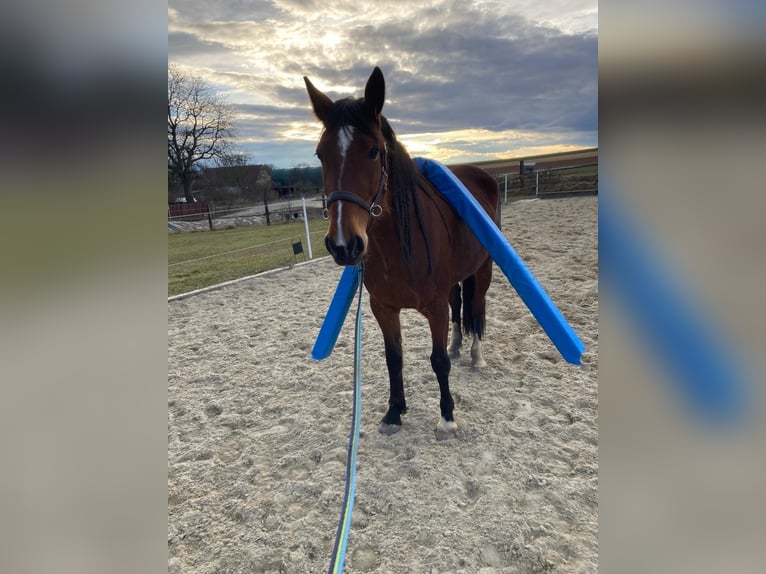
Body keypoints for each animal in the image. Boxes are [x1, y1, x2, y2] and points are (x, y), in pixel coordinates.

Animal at [306, 70, 504, 444]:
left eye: (373, 151)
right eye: (321, 154)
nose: (343, 244)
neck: (398, 248)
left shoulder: (434, 308)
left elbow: (437, 361)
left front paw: (446, 418)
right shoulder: (383, 308)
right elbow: (393, 358)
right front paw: (394, 412)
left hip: (483, 269)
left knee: (476, 307)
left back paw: (475, 355)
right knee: (460, 303)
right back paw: (458, 344)